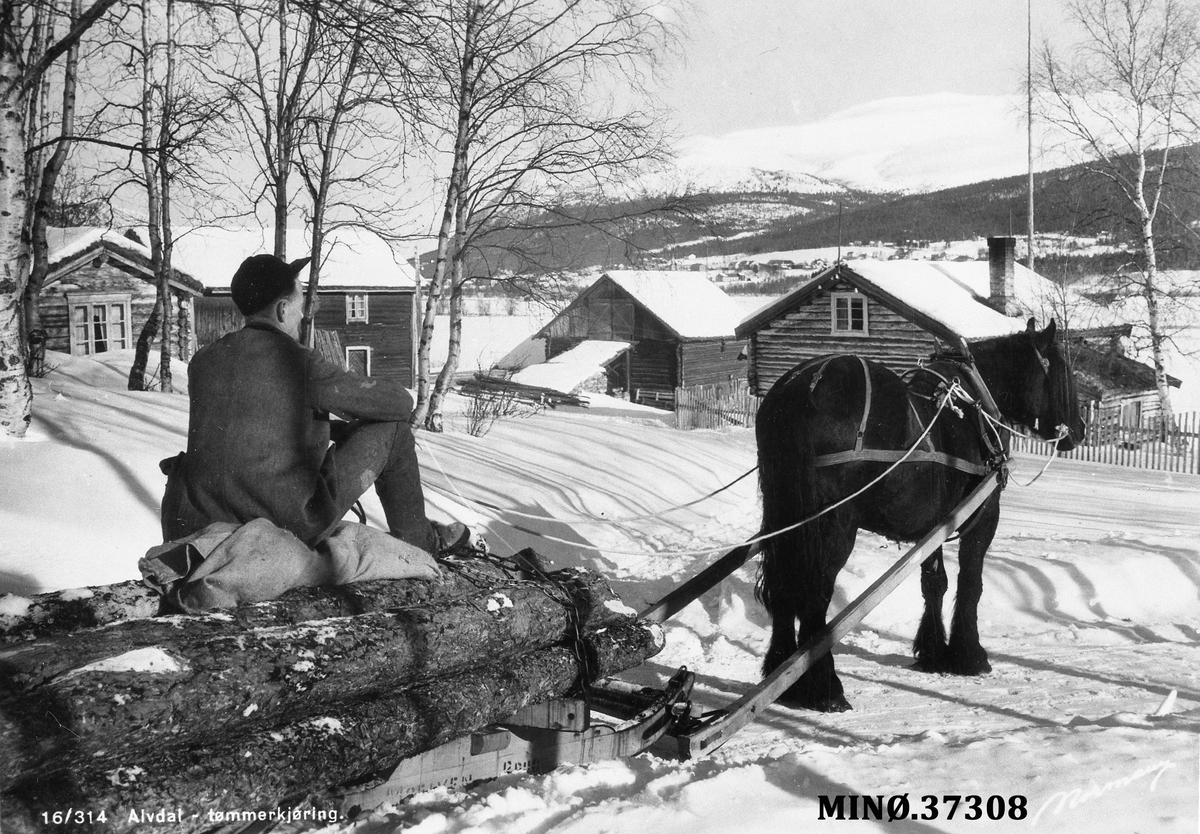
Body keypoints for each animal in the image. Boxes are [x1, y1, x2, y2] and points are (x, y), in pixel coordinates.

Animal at [758, 319, 1089, 710]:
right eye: (1064, 373)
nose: (1080, 430)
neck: (975, 405)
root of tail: (800, 389)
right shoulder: (982, 516)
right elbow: (970, 583)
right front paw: (970, 654)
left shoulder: (932, 526)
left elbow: (934, 583)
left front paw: (932, 651)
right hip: (833, 524)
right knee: (814, 595)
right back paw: (825, 687)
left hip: (782, 514)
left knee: (782, 586)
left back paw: (782, 673)